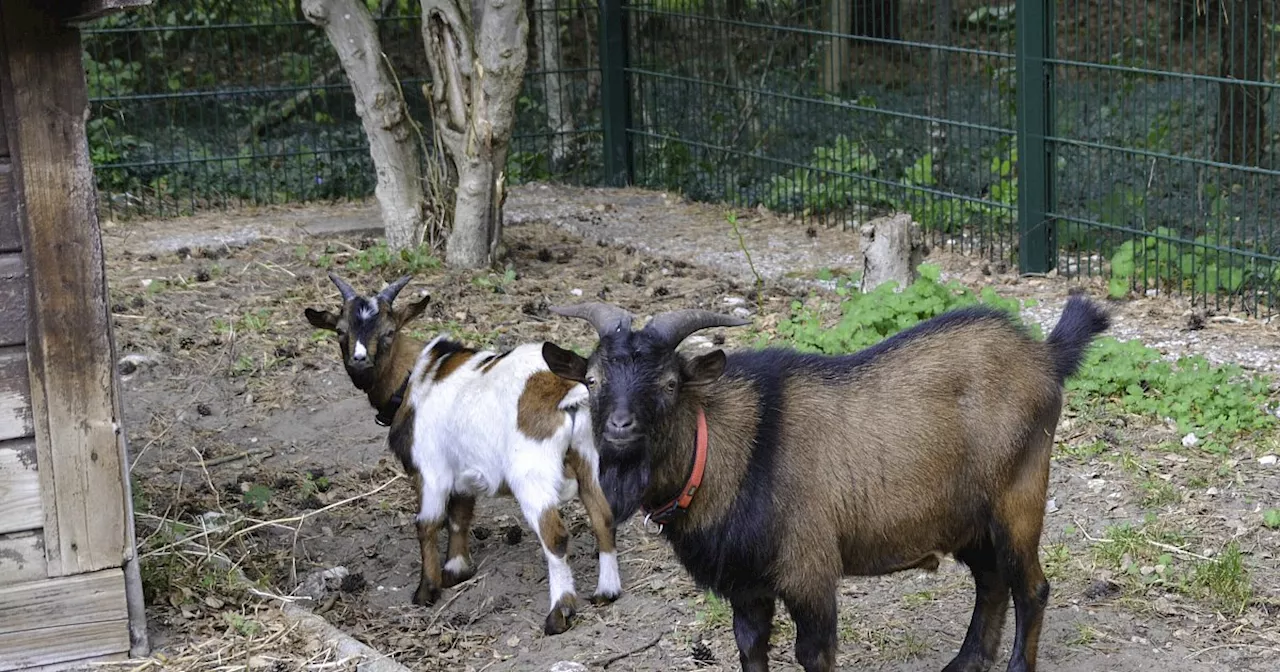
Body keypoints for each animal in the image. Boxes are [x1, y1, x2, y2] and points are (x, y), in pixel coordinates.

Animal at [300, 270, 619, 632]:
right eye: (341, 331)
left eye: (389, 332)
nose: (360, 361)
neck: (411, 379)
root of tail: (568, 395)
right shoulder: (463, 468)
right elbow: (460, 515)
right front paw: (456, 570)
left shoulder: (430, 469)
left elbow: (427, 523)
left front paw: (426, 590)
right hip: (589, 458)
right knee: (603, 517)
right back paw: (606, 592)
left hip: (530, 473)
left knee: (556, 536)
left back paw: (559, 613)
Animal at [540, 296, 1111, 670]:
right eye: (592, 379)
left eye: (669, 382)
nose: (619, 427)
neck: (733, 452)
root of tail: (1044, 357)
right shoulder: (746, 585)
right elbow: (750, 647)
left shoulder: (809, 571)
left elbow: (813, 653)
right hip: (965, 518)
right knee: (991, 581)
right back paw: (964, 664)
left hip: (1017, 498)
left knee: (1031, 588)